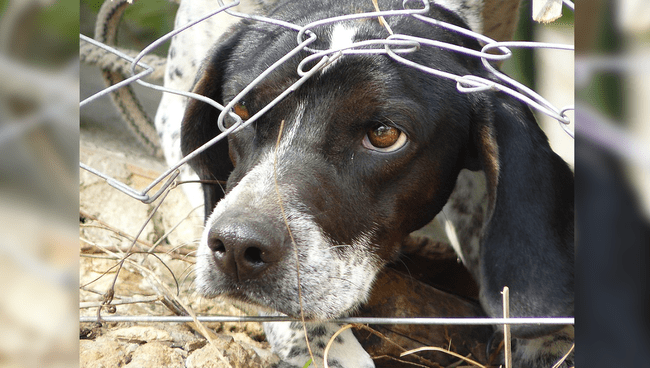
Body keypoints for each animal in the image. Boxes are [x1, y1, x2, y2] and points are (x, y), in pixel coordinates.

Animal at [159, 0, 576, 366]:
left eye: (383, 134)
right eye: (239, 113)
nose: (235, 247)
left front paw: (549, 341)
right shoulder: (173, 113)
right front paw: (325, 345)